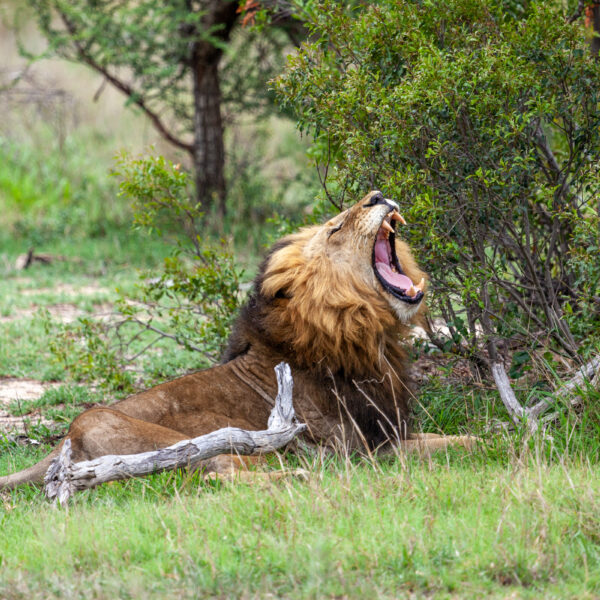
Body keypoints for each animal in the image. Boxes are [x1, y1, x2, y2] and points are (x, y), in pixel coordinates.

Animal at [1, 192, 478, 492]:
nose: (379, 195)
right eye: (336, 227)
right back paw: (296, 477)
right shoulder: (361, 452)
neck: (366, 334)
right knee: (215, 471)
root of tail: (65, 437)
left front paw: (490, 437)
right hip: (189, 443)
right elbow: (447, 449)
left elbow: (463, 439)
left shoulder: (387, 432)